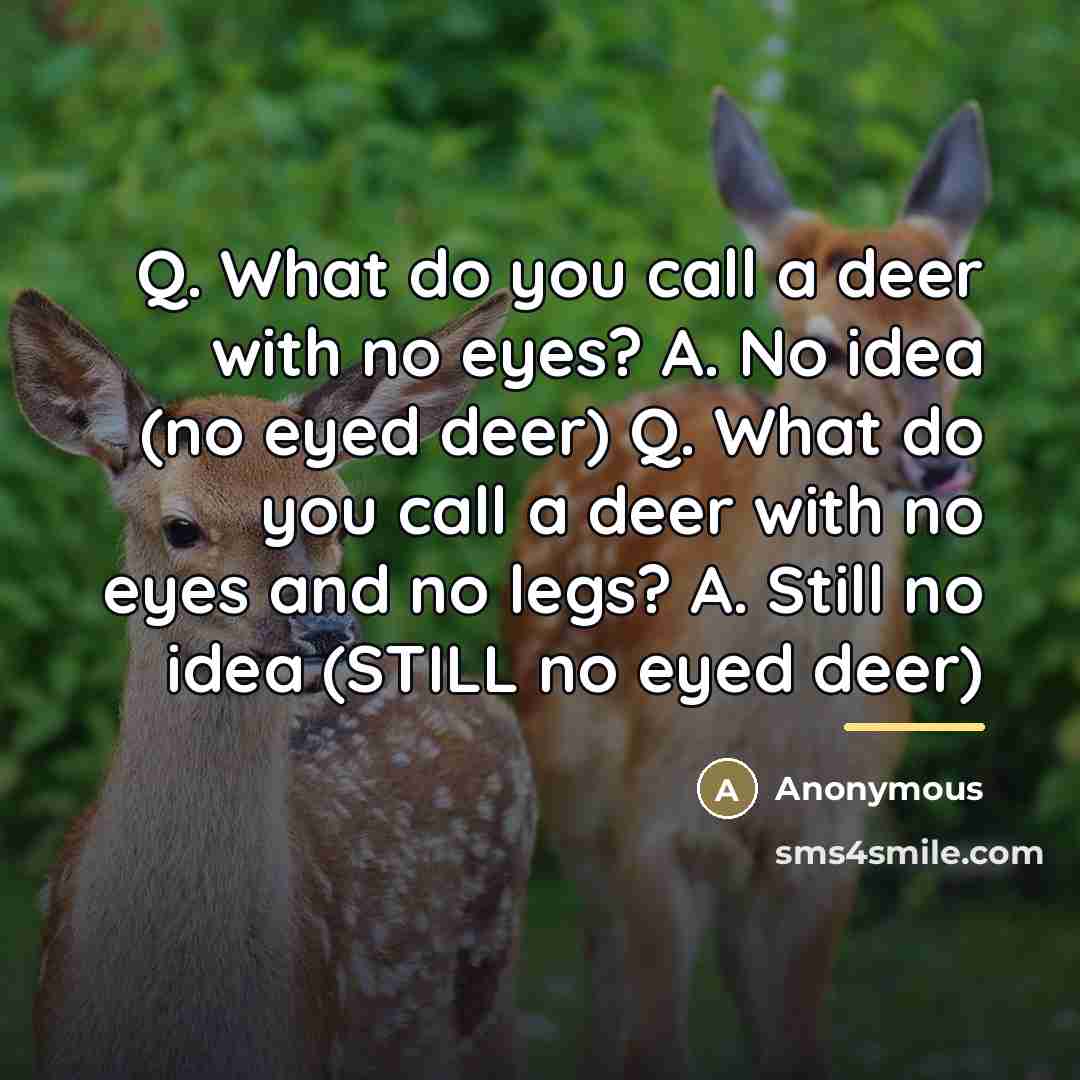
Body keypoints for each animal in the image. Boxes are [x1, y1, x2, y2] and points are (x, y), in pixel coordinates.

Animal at [504, 92, 990, 1079]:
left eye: (965, 342)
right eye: (825, 345)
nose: (938, 463)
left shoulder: (832, 839)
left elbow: (794, 1043)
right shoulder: (652, 822)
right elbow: (654, 1042)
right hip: (573, 808)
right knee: (606, 984)